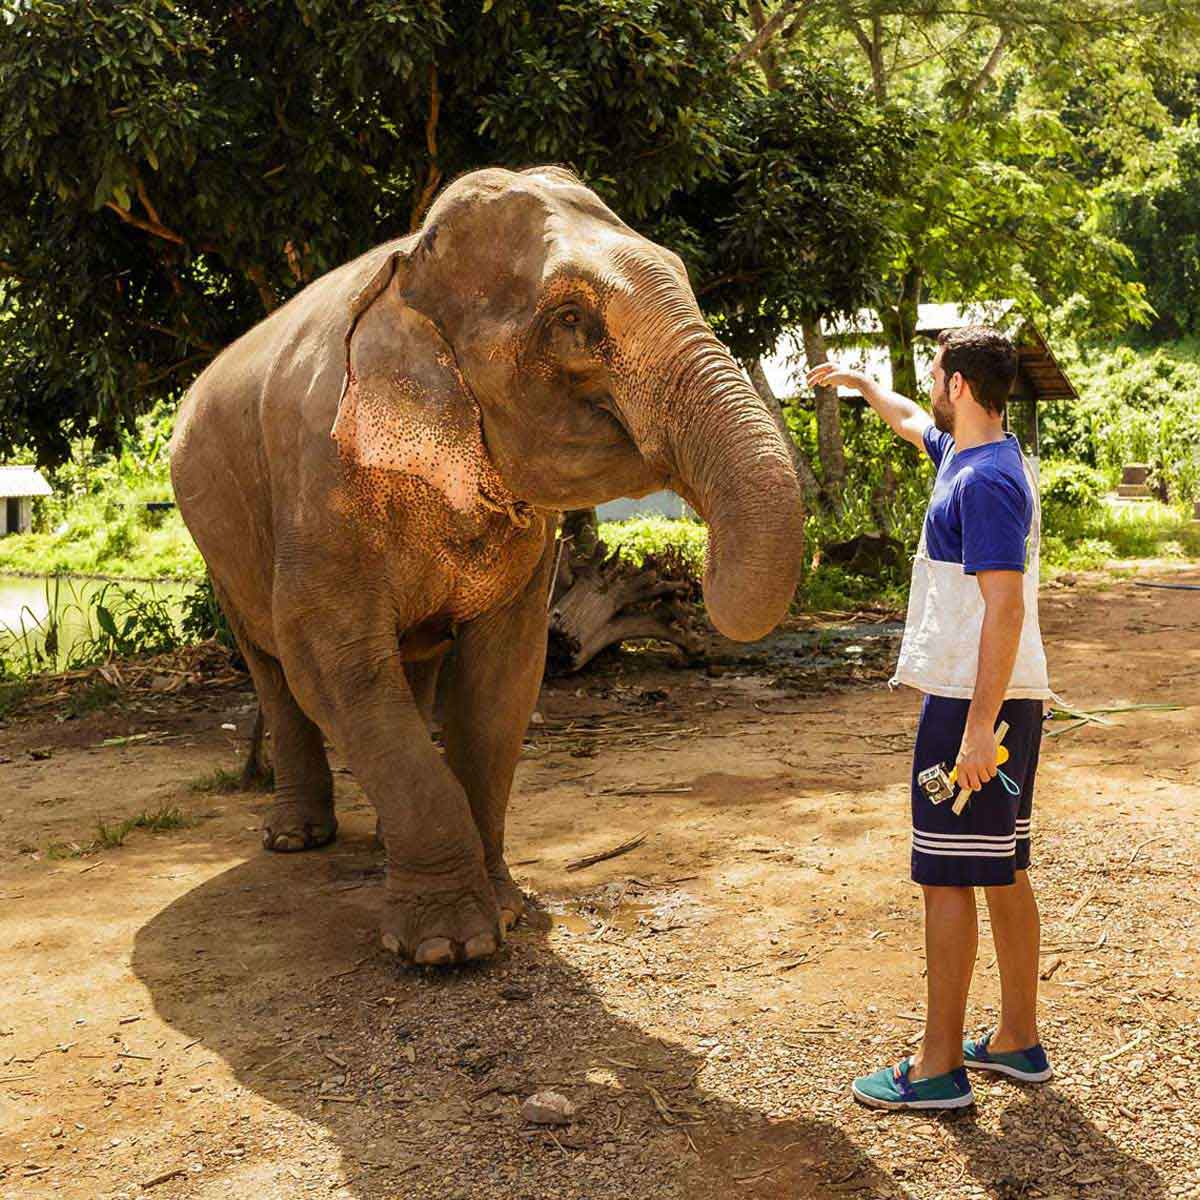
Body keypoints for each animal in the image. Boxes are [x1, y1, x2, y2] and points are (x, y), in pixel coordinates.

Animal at [169, 165, 804, 966]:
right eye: (570, 319)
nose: (693, 571)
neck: (409, 267)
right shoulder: (317, 485)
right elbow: (332, 663)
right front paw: (448, 950)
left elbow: (506, 672)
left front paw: (506, 911)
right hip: (217, 543)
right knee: (275, 667)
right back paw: (295, 841)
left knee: (410, 666)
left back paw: (378, 840)